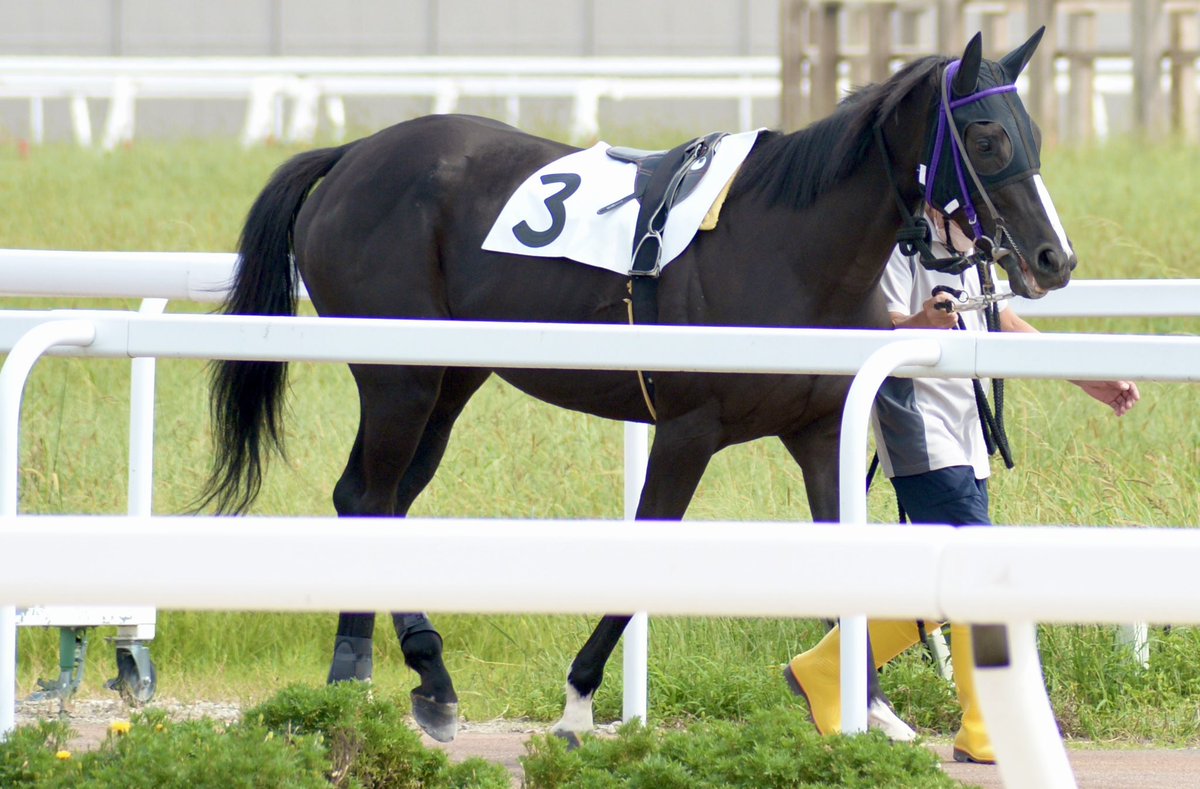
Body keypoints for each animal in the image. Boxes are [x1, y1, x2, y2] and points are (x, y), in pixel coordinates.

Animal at [196, 28, 1072, 744]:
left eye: (1035, 133)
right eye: (986, 136)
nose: (1052, 258)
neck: (789, 244)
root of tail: (349, 156)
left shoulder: (819, 432)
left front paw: (872, 705)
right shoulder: (688, 428)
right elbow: (643, 550)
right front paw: (579, 699)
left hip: (448, 381)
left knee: (371, 500)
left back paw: (390, 674)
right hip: (400, 378)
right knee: (369, 499)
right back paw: (398, 670)